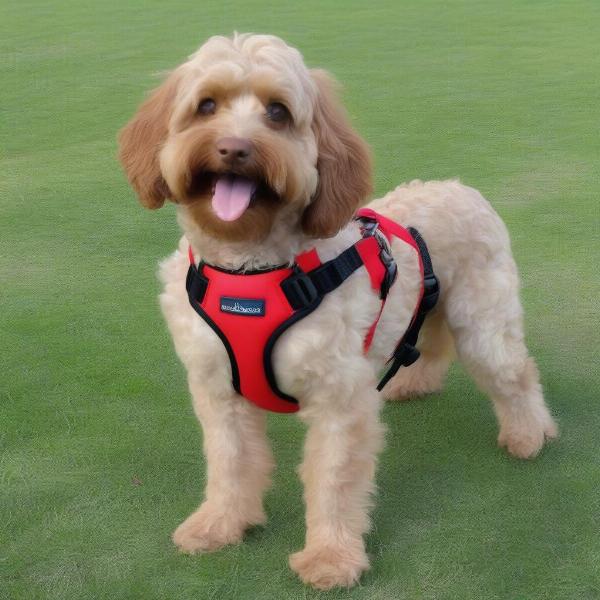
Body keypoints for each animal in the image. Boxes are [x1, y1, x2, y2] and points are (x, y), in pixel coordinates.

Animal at [117, 32, 556, 592]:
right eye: (207, 105)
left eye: (278, 112)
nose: (234, 149)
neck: (252, 271)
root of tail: (460, 185)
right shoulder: (218, 390)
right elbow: (229, 461)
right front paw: (220, 523)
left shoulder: (338, 399)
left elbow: (333, 479)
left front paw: (331, 556)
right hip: (431, 304)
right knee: (432, 344)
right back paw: (415, 384)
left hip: (483, 321)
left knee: (514, 373)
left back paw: (529, 433)